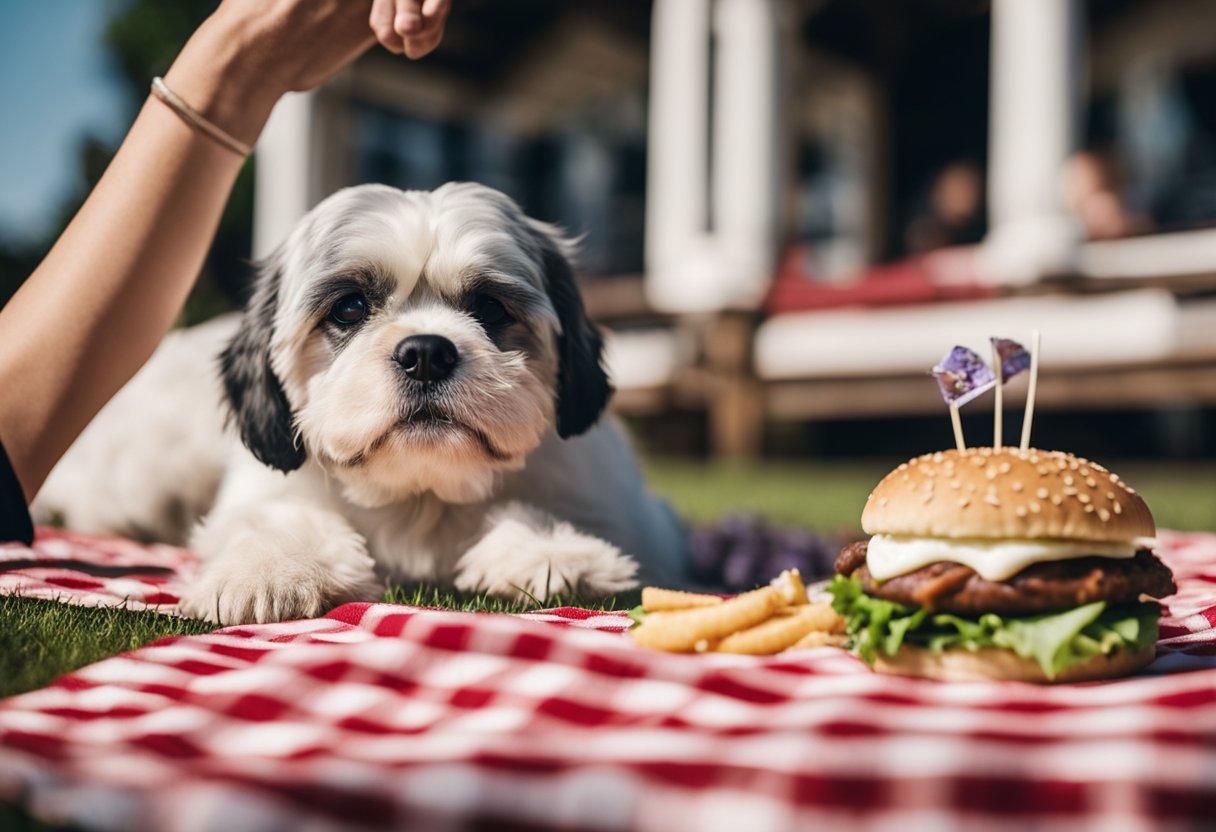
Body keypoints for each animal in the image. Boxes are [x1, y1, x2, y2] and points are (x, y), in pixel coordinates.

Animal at [33, 183, 690, 622]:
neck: (421, 497)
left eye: (490, 308)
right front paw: (269, 571)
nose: (426, 351)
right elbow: (280, 520)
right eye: (349, 308)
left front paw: (549, 552)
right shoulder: (262, 495)